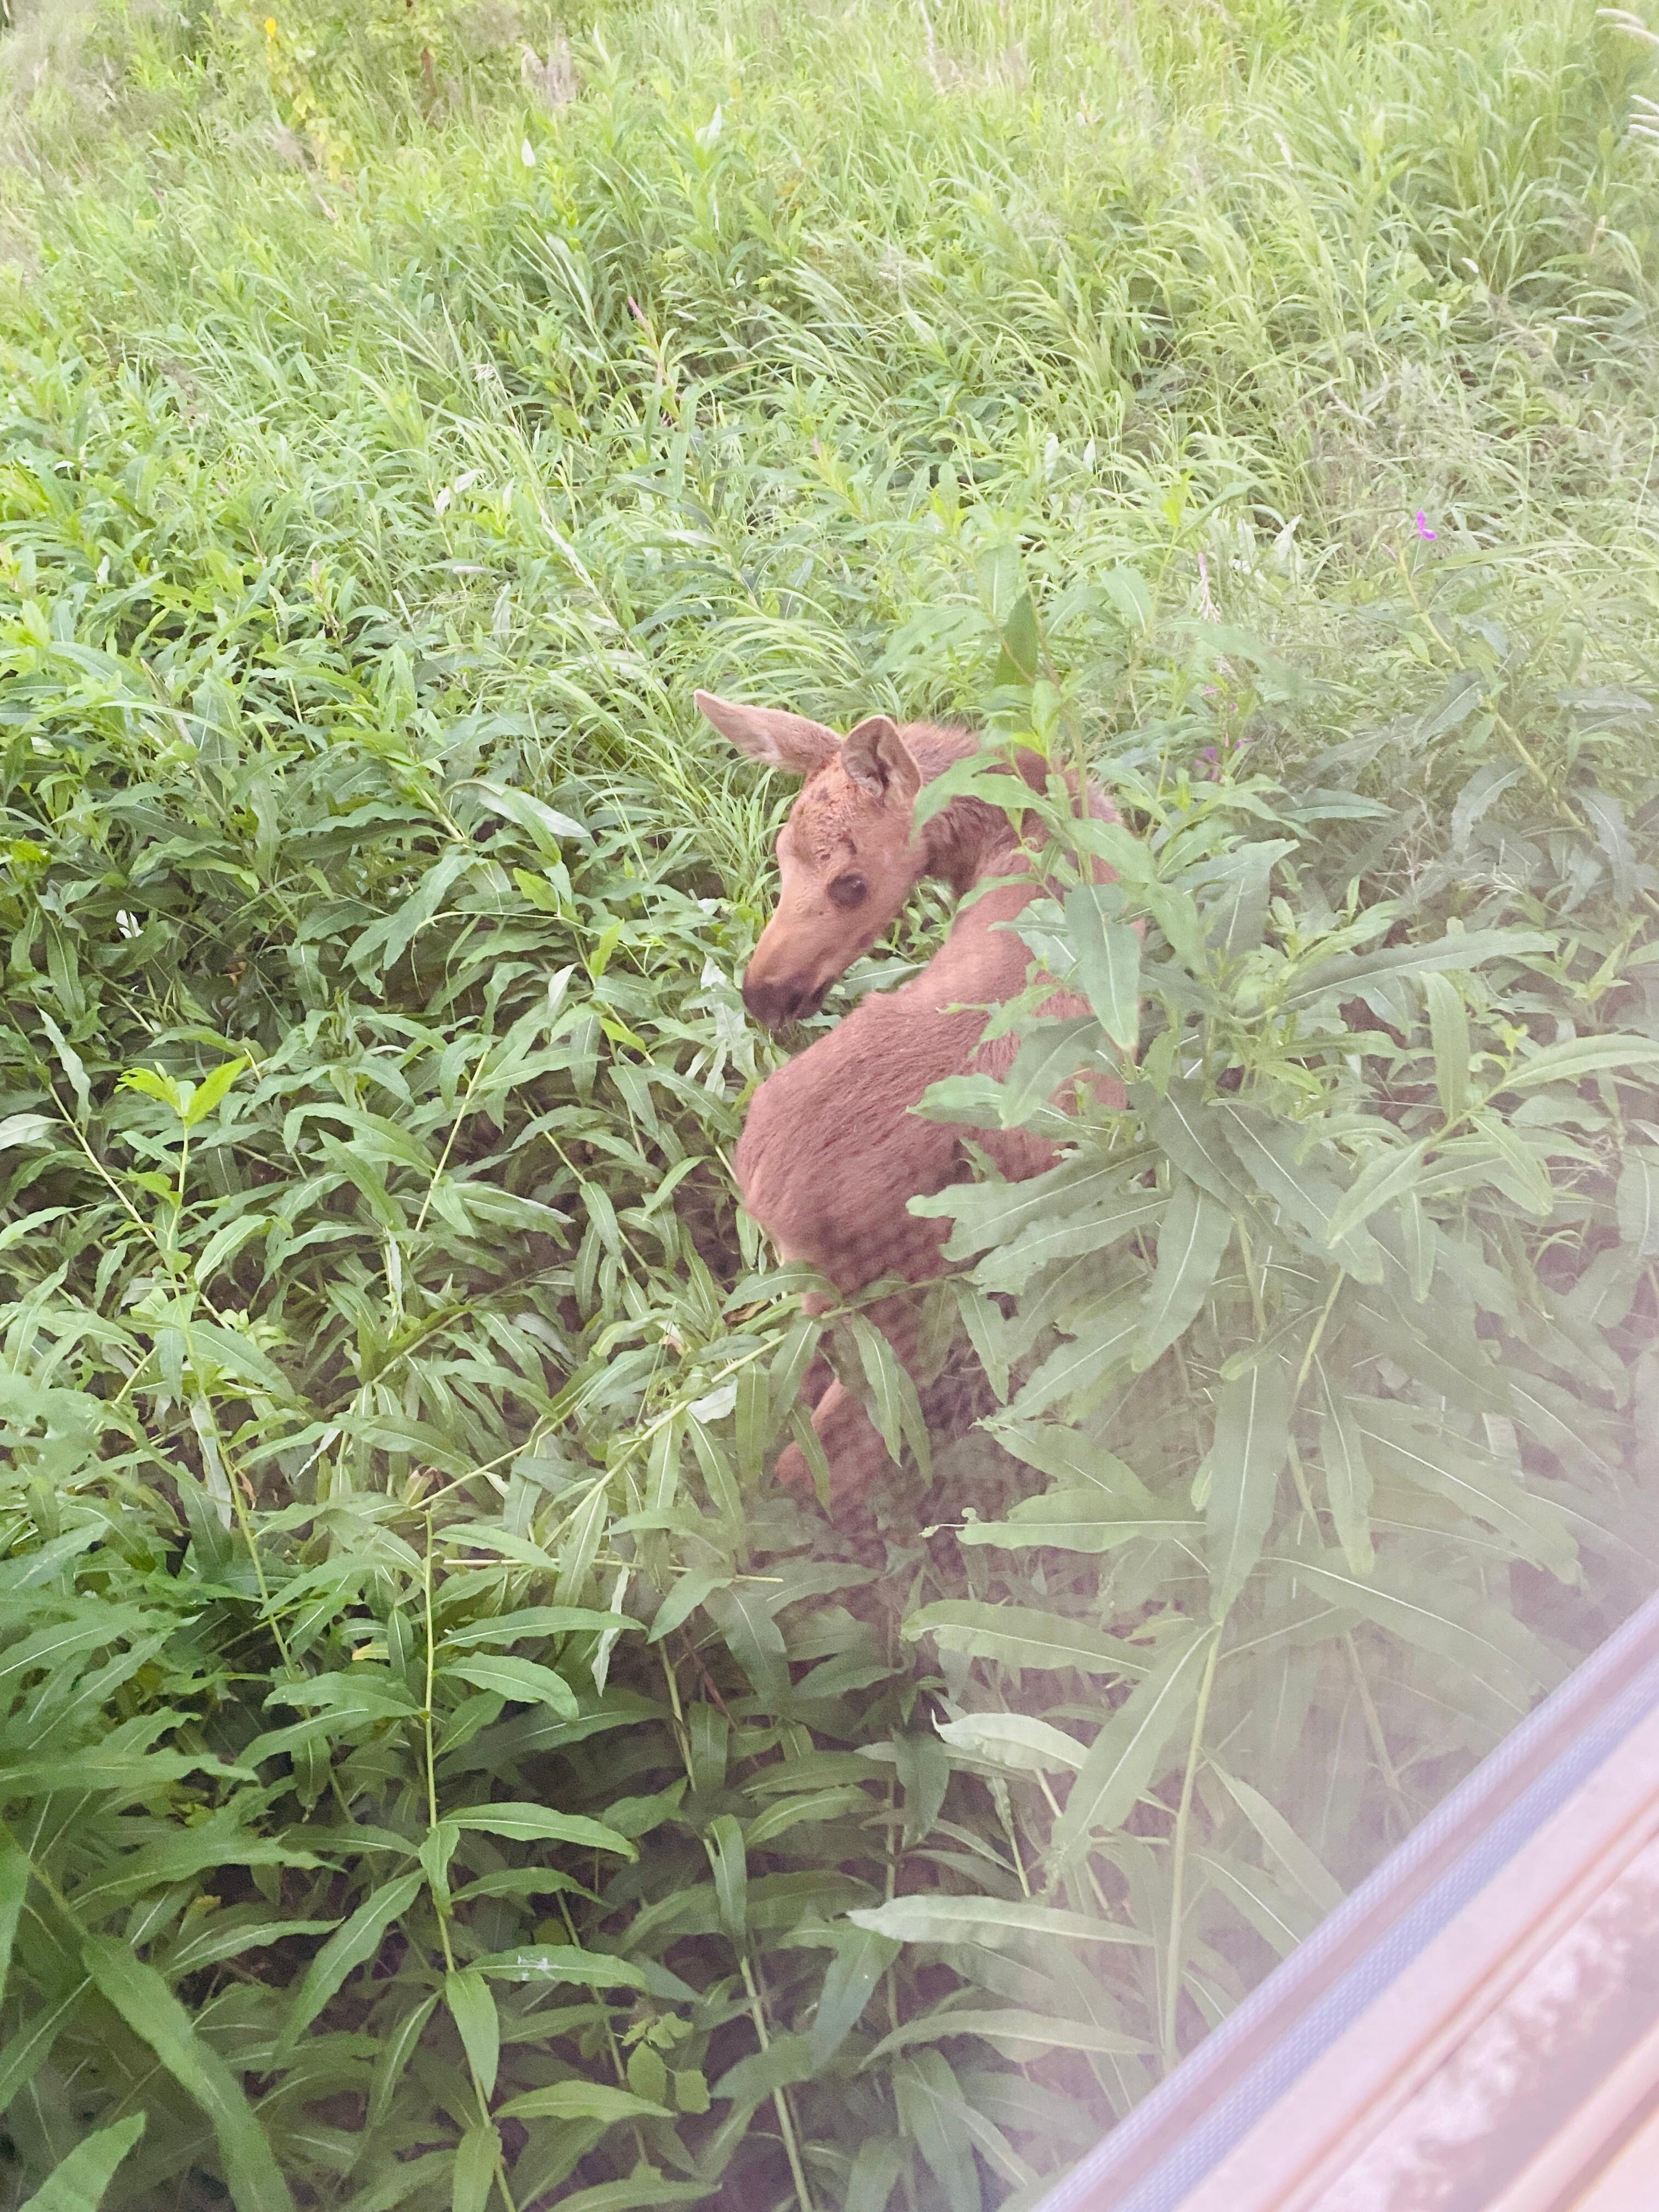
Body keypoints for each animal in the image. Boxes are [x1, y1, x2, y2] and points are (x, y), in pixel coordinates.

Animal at [697, 690, 1130, 1513]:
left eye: (849, 882)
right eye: (780, 857)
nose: (763, 996)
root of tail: (765, 1191)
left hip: (824, 1295)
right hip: (906, 1291)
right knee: (833, 1453)